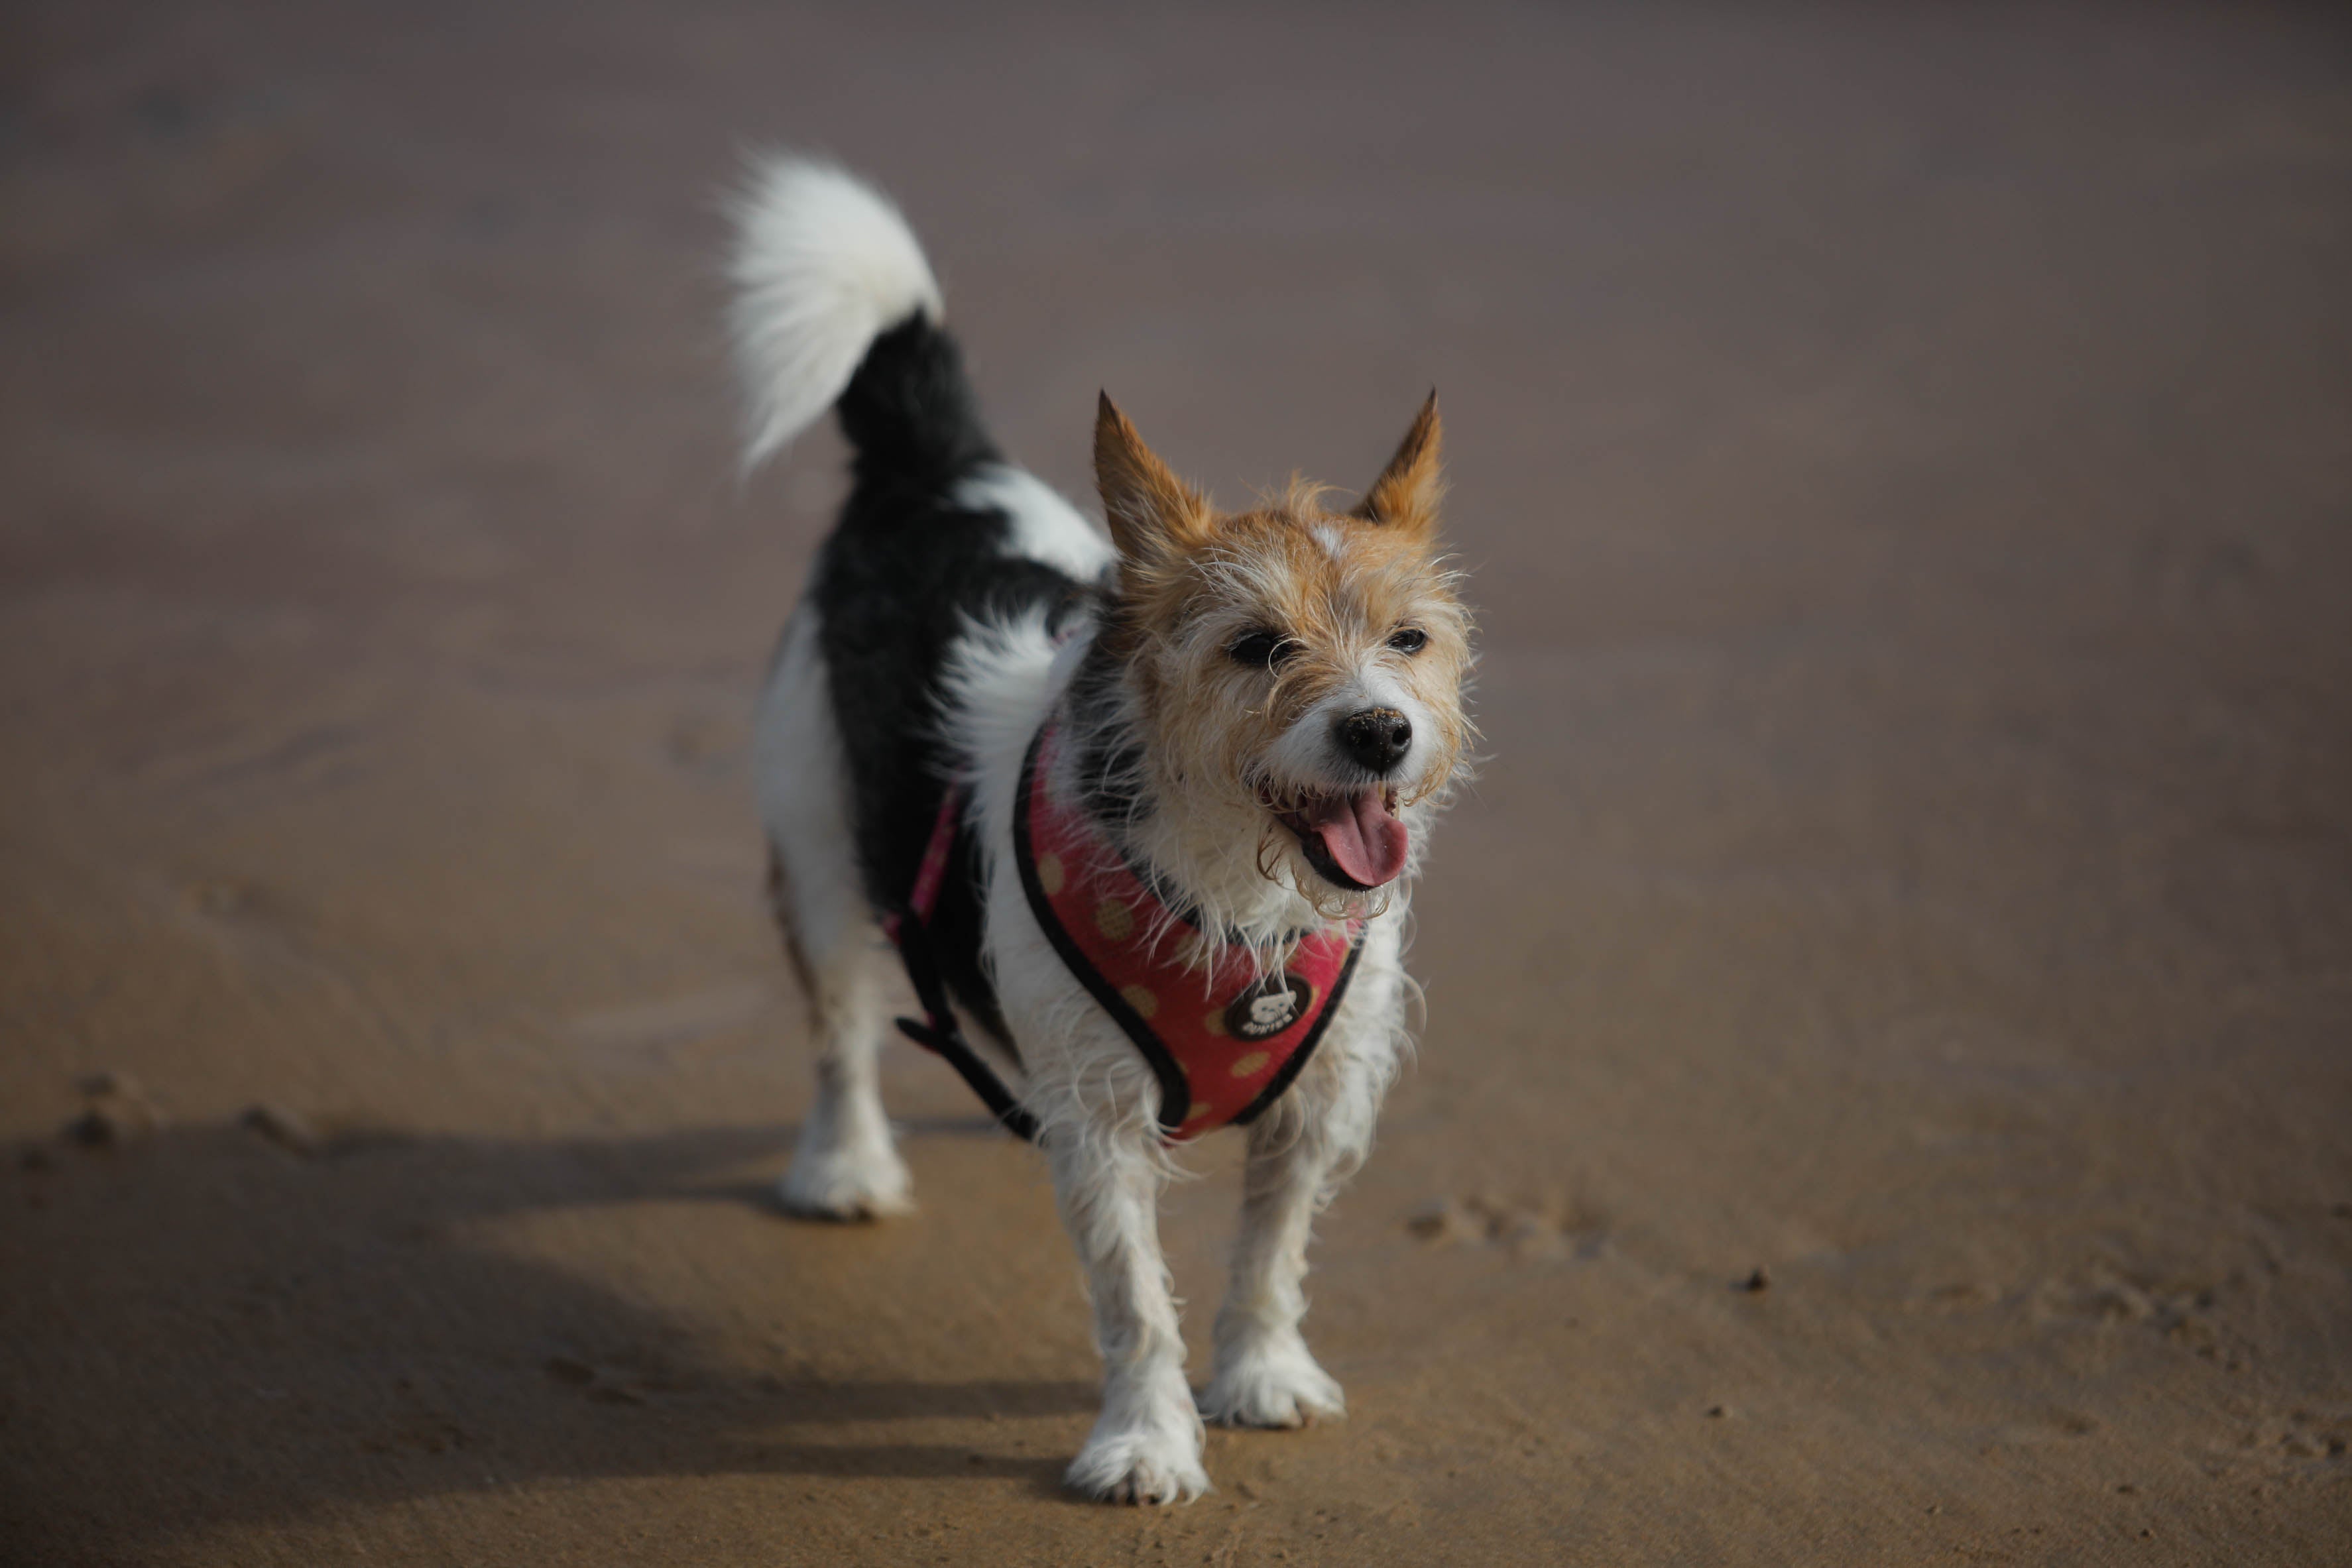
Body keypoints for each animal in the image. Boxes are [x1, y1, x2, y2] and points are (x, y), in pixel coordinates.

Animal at [733, 162, 1467, 1504]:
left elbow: (1270, 1254)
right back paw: (846, 1167)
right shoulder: (1101, 1125)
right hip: (813, 833)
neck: (1238, 892)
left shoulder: (1316, 1099)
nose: (1382, 732)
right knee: (839, 1026)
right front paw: (1145, 1439)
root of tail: (938, 473)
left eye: (1409, 640)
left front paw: (1261, 1374)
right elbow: (1135, 1297)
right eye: (1255, 648)